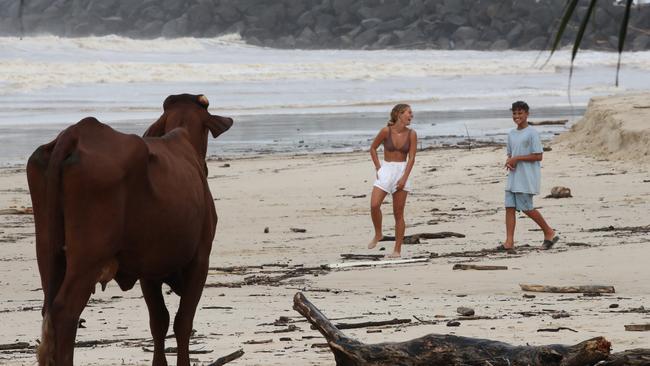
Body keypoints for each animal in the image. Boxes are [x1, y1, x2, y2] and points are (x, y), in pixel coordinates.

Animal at [26, 95, 233, 366]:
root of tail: (77, 132)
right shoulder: (200, 260)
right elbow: (183, 322)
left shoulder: (149, 270)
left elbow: (159, 321)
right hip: (87, 258)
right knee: (65, 311)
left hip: (48, 253)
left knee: (49, 309)